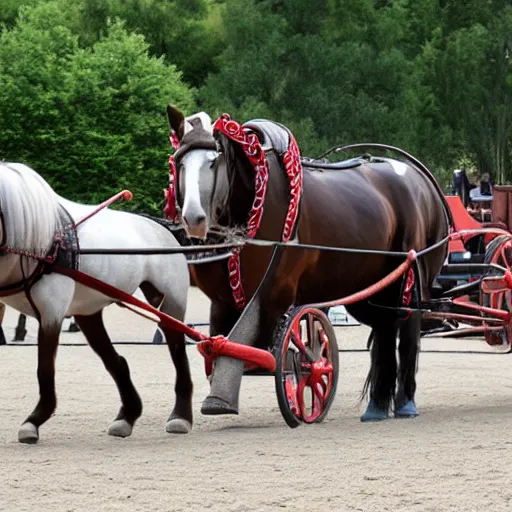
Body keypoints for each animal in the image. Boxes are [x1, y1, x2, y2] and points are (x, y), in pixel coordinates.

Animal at [166, 106, 450, 422]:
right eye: (179, 162)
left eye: (213, 161)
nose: (194, 218)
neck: (256, 204)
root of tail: (422, 180)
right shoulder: (224, 300)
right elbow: (223, 343)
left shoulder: (275, 291)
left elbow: (251, 342)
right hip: (368, 290)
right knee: (386, 328)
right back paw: (376, 406)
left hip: (411, 278)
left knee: (409, 328)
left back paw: (405, 403)